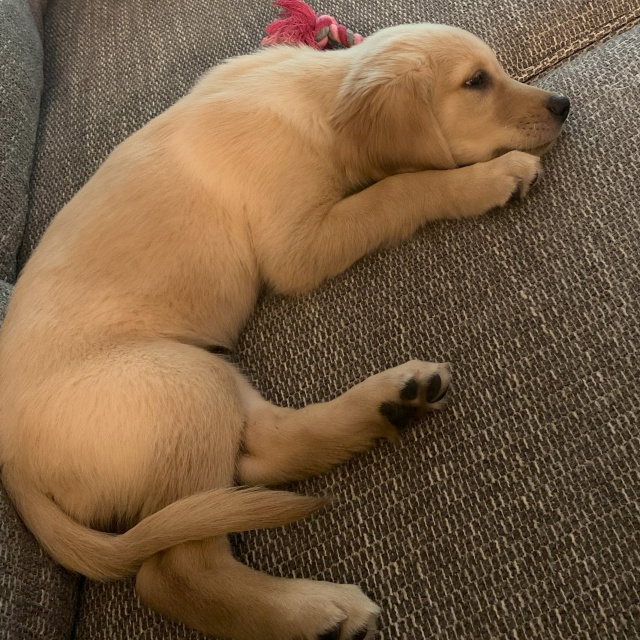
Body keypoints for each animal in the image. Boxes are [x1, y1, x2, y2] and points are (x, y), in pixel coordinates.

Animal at [0, 23, 569, 640]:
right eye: (475, 82)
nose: (563, 104)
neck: (315, 103)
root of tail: (13, 464)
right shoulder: (297, 250)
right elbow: (401, 188)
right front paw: (490, 177)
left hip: (201, 375)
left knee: (263, 451)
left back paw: (393, 401)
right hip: (180, 381)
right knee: (176, 570)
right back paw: (315, 611)